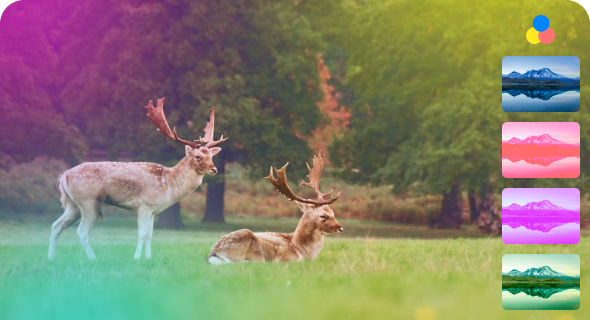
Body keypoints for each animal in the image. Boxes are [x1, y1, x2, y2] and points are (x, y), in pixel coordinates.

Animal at [48, 97, 228, 260]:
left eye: (211, 155)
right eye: (198, 156)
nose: (214, 169)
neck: (168, 184)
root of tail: (65, 174)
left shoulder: (154, 210)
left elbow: (149, 235)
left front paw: (147, 258)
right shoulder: (145, 205)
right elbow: (141, 234)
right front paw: (136, 258)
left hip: (73, 205)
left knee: (55, 225)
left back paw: (51, 258)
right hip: (89, 201)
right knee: (82, 232)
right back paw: (93, 258)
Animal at [209, 154, 344, 264]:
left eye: (332, 212)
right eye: (323, 216)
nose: (341, 228)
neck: (302, 250)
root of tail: (213, 254)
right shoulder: (286, 259)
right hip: (254, 251)